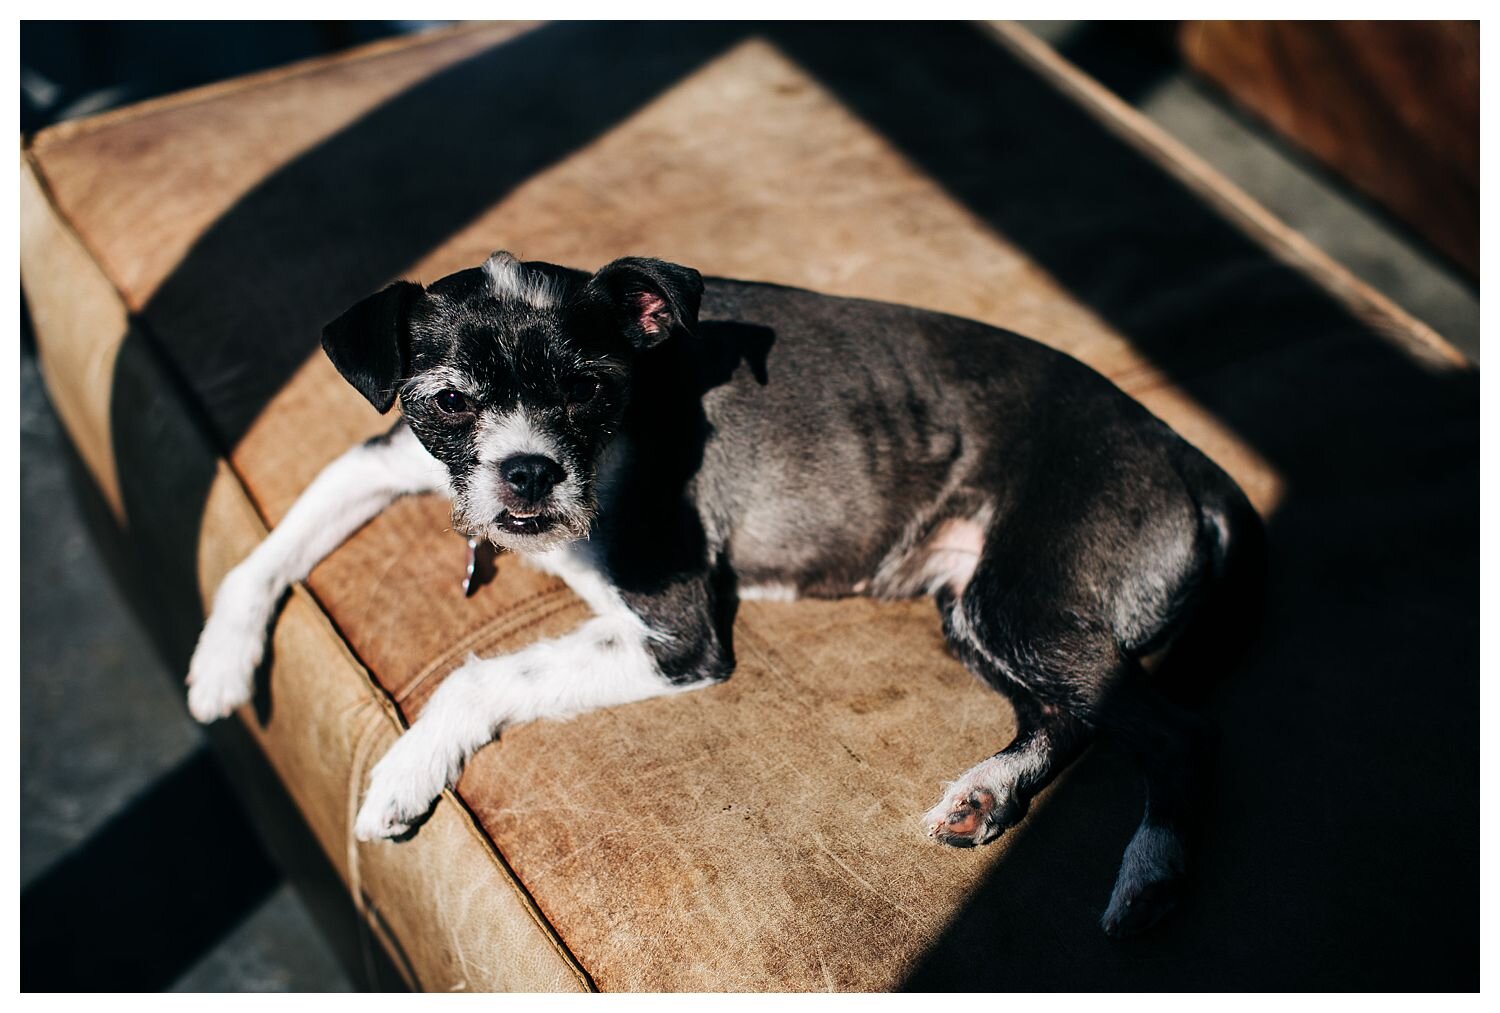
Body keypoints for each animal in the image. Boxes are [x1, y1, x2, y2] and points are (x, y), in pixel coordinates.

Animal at [187, 252, 1266, 936]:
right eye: (450, 400)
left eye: (589, 389)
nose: (530, 473)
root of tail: (1189, 456)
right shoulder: (386, 459)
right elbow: (266, 548)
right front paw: (219, 661)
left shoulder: (673, 632)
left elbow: (479, 674)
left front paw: (403, 773)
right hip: (978, 609)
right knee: (1072, 716)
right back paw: (986, 793)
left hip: (1023, 601)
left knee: (1180, 730)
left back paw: (1151, 875)